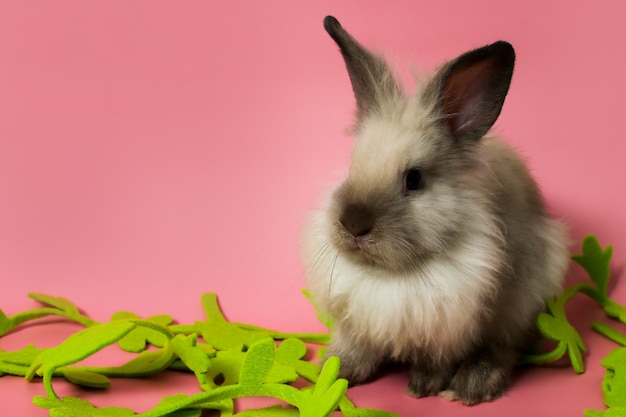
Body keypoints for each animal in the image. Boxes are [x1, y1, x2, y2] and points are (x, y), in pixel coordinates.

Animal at [300, 15, 568, 404]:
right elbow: (355, 345)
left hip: (524, 297)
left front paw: (422, 386)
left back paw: (473, 384)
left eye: (414, 179)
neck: (388, 276)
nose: (353, 225)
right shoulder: (357, 320)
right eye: (353, 166)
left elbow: (439, 356)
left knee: (505, 346)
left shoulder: (450, 323)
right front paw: (333, 370)